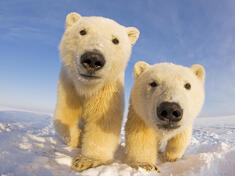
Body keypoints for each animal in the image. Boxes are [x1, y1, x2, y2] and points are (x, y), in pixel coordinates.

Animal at [54, 11, 140, 171]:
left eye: (115, 40)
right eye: (82, 31)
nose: (93, 59)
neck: (87, 87)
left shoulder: (107, 91)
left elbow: (103, 121)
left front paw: (86, 160)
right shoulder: (69, 85)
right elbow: (64, 116)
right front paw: (77, 138)